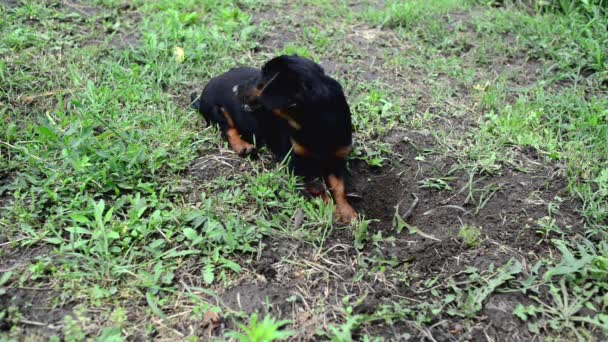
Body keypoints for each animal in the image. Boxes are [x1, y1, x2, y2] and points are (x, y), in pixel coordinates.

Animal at [191, 54, 356, 223]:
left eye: (263, 77)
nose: (234, 89)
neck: (315, 123)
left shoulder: (337, 158)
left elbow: (339, 188)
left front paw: (347, 212)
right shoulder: (296, 161)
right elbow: (317, 186)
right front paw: (330, 209)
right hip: (217, 111)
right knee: (228, 129)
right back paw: (243, 146)